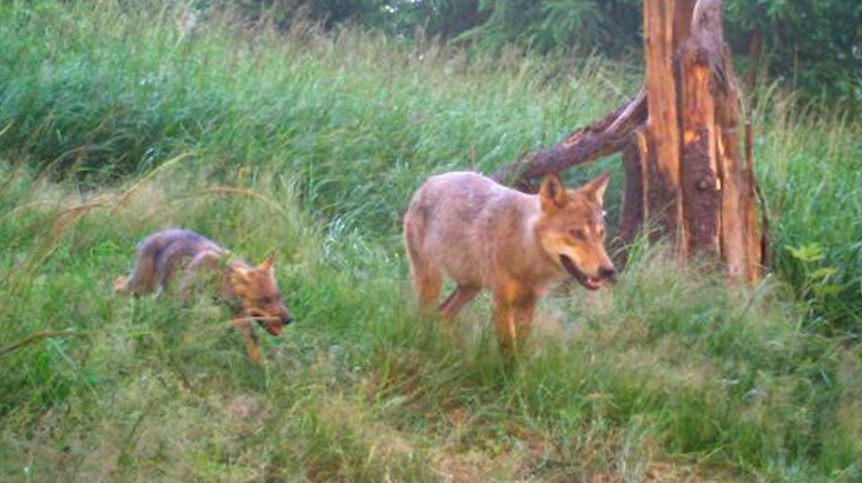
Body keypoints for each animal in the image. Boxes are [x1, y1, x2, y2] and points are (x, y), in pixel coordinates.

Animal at [404, 172, 616, 350]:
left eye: (601, 234)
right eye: (577, 233)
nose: (609, 270)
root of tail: (427, 183)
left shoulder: (528, 303)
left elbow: (519, 350)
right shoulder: (502, 302)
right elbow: (508, 351)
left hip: (471, 287)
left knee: (442, 314)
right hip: (432, 283)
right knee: (423, 315)